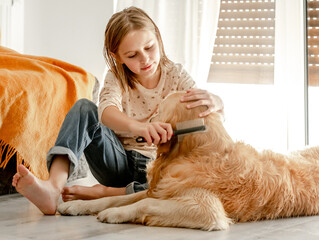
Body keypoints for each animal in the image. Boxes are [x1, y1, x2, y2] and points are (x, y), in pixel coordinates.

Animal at [57, 92, 319, 231]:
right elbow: (115, 197)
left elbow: (143, 204)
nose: (145, 122)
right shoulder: (159, 189)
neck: (199, 151)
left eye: (160, 109)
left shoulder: (207, 209)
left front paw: (113, 214)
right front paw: (76, 206)